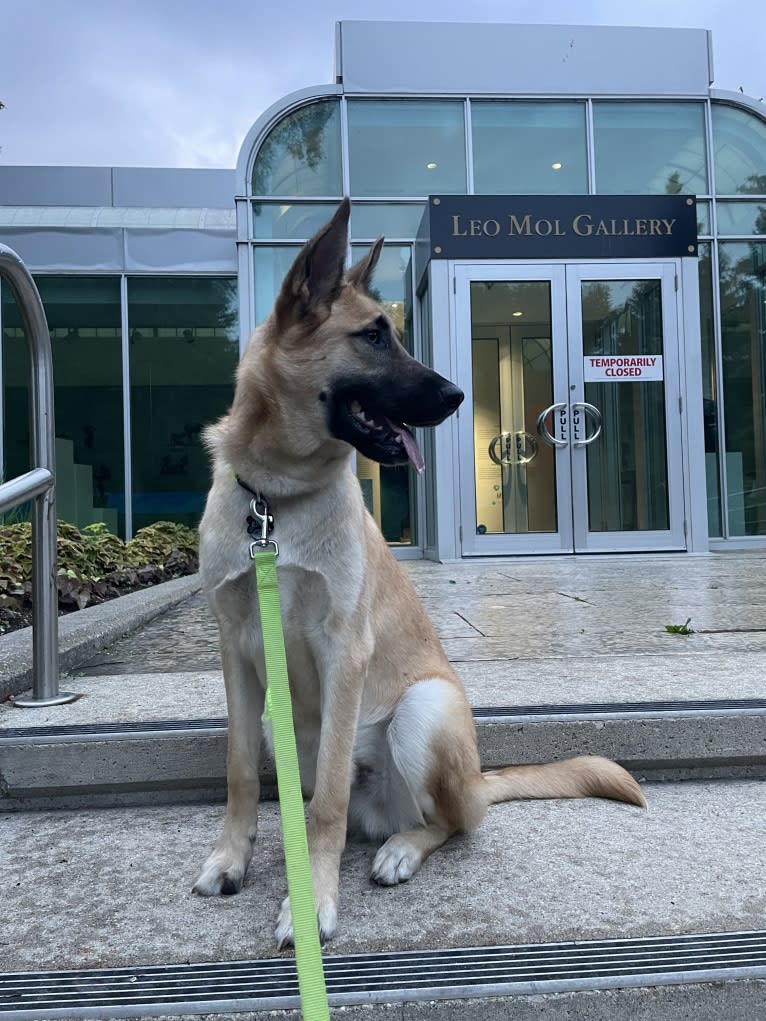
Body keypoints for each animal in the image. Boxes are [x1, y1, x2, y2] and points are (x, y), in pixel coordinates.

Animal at [192, 199, 649, 947]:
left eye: (394, 334)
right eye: (374, 337)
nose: (459, 394)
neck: (277, 498)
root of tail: (476, 779)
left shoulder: (343, 649)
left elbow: (326, 804)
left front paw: (314, 901)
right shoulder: (236, 652)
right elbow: (238, 772)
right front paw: (232, 858)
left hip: (423, 710)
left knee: (447, 821)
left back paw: (401, 849)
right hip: (285, 723)